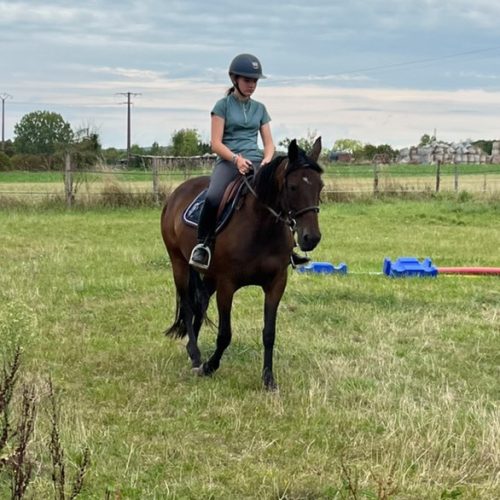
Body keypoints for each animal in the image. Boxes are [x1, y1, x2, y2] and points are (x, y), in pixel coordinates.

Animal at [160, 137, 324, 390]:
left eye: (320, 186)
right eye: (293, 186)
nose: (311, 238)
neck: (260, 226)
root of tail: (177, 193)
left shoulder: (276, 283)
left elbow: (269, 333)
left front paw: (268, 379)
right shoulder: (227, 285)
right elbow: (225, 334)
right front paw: (209, 366)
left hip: (209, 276)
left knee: (200, 303)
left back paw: (191, 349)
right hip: (179, 263)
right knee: (188, 305)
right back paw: (196, 355)